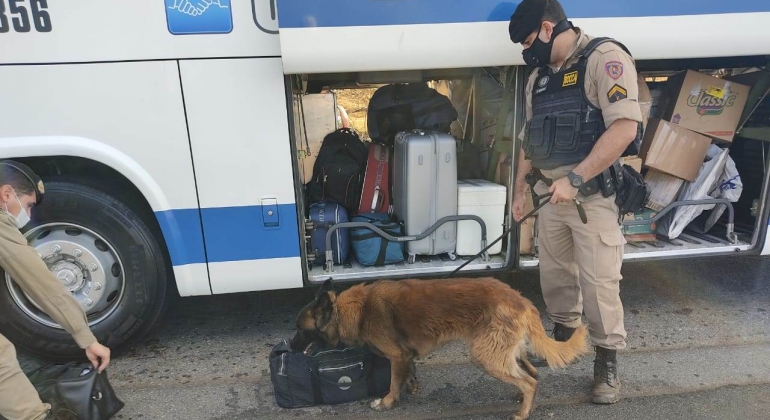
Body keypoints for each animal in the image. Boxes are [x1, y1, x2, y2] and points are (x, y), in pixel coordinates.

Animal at [288, 278, 588, 418]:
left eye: (300, 330)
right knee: (531, 374)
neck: (354, 311)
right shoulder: (405, 356)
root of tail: (522, 300)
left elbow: (393, 382)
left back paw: (524, 411)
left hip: (485, 355)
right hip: (503, 351)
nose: (289, 347)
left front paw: (387, 402)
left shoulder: (396, 356)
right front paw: (411, 386)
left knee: (529, 381)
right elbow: (408, 373)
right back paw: (522, 397)